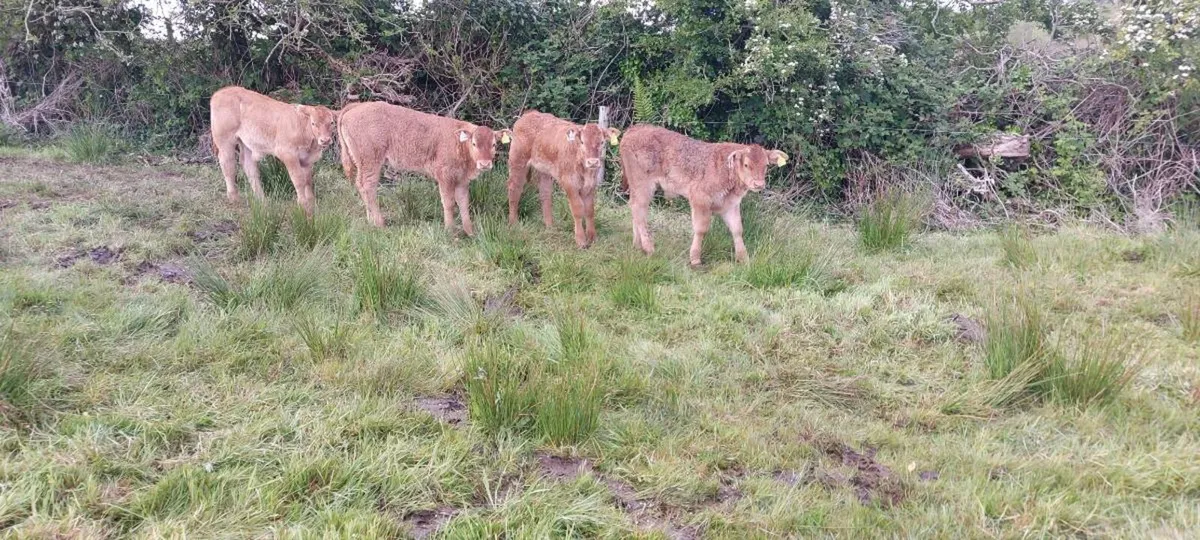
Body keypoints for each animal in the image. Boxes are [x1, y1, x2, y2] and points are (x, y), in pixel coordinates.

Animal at [209, 86, 337, 216]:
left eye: (331, 122)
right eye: (313, 123)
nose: (325, 140)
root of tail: (222, 91)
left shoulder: (307, 160)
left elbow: (308, 181)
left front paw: (311, 205)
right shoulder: (288, 154)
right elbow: (298, 179)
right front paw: (303, 205)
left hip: (246, 143)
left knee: (249, 167)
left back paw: (262, 200)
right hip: (225, 140)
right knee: (228, 164)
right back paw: (234, 198)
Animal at [337, 101, 511, 234]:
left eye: (494, 144)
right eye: (474, 143)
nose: (485, 164)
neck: (459, 143)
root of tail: (357, 106)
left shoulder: (462, 180)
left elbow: (463, 202)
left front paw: (470, 232)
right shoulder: (445, 177)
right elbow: (448, 202)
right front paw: (450, 231)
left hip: (363, 162)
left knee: (362, 186)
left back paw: (371, 221)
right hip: (371, 161)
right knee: (368, 186)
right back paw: (380, 223)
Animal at [506, 110, 620, 249]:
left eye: (602, 142)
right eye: (582, 142)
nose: (593, 162)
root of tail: (530, 113)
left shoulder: (591, 185)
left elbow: (589, 210)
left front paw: (592, 238)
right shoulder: (569, 183)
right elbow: (578, 209)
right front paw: (581, 241)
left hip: (544, 170)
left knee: (545, 194)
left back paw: (550, 227)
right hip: (517, 161)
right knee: (514, 190)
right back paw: (513, 223)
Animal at [618, 125, 789, 267]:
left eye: (766, 165)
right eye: (746, 165)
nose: (759, 184)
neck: (726, 169)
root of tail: (634, 129)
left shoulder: (731, 205)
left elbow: (737, 229)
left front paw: (743, 258)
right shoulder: (700, 199)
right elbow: (701, 228)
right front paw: (695, 259)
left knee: (635, 209)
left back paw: (637, 245)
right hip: (642, 184)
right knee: (639, 209)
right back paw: (648, 247)